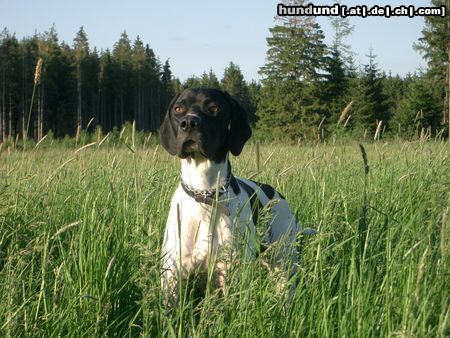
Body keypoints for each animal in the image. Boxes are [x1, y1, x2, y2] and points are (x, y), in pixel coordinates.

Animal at [160, 88, 304, 302]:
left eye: (214, 108)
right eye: (178, 109)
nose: (189, 123)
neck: (206, 194)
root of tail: (277, 195)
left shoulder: (232, 273)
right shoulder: (172, 278)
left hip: (283, 263)